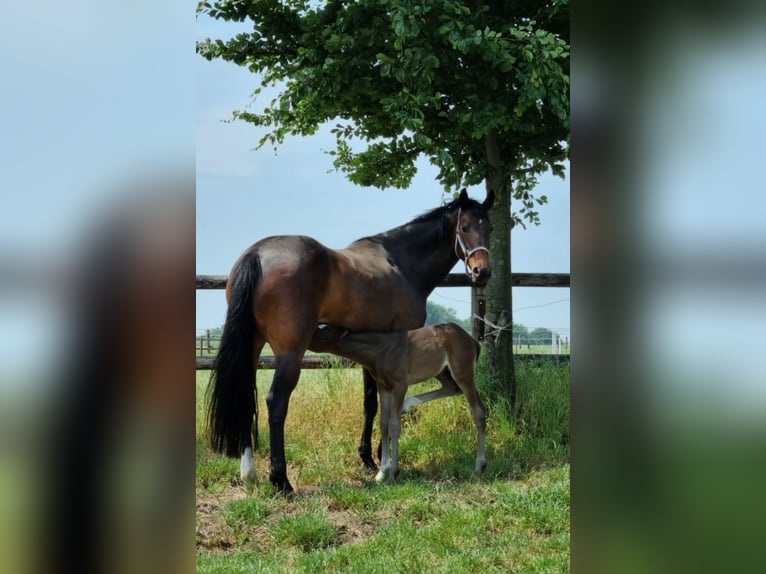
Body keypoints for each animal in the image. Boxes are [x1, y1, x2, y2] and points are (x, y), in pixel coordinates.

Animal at [310, 324, 486, 482]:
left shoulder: (399, 386)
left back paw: (480, 466)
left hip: (463, 372)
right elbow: (383, 423)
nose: (309, 340)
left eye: (324, 335)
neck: (380, 350)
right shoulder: (384, 387)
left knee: (478, 410)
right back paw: (409, 404)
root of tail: (473, 340)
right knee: (452, 388)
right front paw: (382, 472)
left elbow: (394, 426)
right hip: (442, 372)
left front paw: (393, 472)